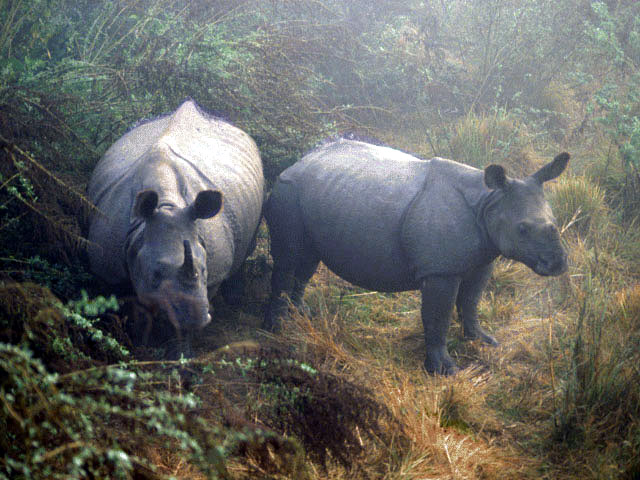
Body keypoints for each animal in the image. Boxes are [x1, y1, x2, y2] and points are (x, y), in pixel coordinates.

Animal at [87, 99, 262, 354]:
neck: (167, 205)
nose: (199, 318)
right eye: (155, 274)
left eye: (204, 269)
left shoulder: (211, 275)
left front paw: (180, 354)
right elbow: (128, 307)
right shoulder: (108, 268)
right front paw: (132, 346)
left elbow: (181, 322)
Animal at [262, 139, 568, 376]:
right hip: (287, 190)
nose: (558, 264)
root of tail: (298, 162)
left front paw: (482, 341)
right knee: (289, 258)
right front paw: (445, 370)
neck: (488, 201)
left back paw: (302, 314)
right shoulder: (440, 270)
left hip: (317, 193)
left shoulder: (484, 257)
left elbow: (471, 302)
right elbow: (438, 316)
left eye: (556, 220)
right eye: (522, 229)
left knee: (308, 260)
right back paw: (279, 328)